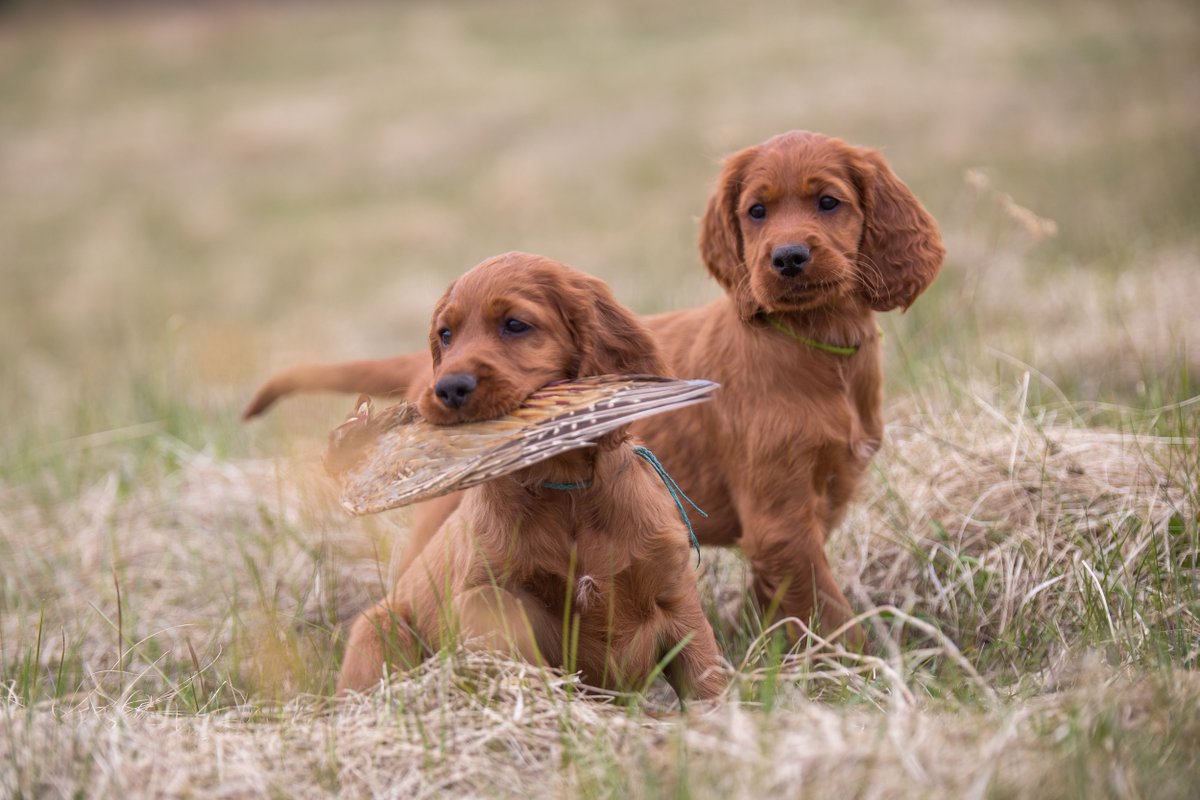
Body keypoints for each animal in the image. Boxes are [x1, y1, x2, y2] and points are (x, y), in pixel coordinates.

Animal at [243, 131, 940, 652]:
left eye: (827, 202)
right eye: (757, 212)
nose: (788, 258)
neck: (815, 349)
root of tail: (427, 369)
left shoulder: (814, 504)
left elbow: (787, 599)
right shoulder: (780, 517)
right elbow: (827, 606)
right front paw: (854, 670)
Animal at [328, 255, 724, 700]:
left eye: (515, 324)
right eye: (445, 335)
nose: (447, 389)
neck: (567, 491)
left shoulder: (677, 599)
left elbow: (707, 681)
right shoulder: (483, 593)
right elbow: (508, 632)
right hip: (377, 631)